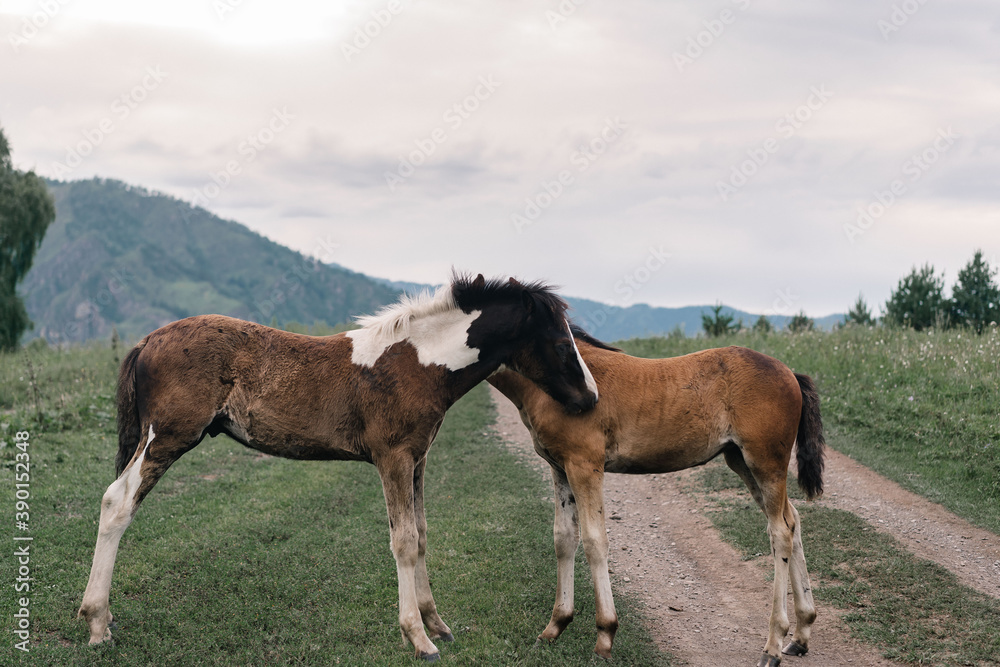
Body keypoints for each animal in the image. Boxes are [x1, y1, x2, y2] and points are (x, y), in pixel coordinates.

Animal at [80, 274, 592, 660]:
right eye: (559, 341)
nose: (589, 399)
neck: (418, 363)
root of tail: (148, 339)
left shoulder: (418, 458)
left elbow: (422, 534)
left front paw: (437, 624)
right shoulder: (392, 457)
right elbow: (404, 542)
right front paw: (419, 639)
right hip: (166, 438)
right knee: (116, 502)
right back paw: (97, 623)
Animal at [488, 328, 824, 667]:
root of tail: (790, 373)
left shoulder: (584, 465)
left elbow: (594, 541)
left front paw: (604, 637)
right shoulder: (559, 467)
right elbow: (564, 538)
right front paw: (554, 627)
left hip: (765, 462)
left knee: (779, 532)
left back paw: (772, 645)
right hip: (740, 461)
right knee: (792, 520)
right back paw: (801, 635)